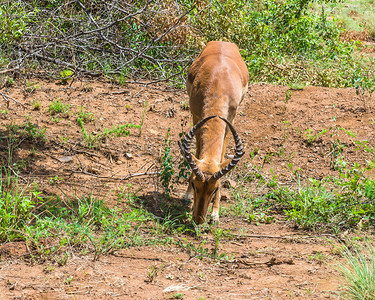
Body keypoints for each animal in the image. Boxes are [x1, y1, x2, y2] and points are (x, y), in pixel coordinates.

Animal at [179, 41, 250, 224]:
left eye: (215, 188)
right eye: (194, 184)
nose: (198, 219)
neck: (218, 85)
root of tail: (223, 42)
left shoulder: (230, 121)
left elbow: (222, 155)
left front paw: (216, 213)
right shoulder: (196, 116)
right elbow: (197, 152)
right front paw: (187, 195)